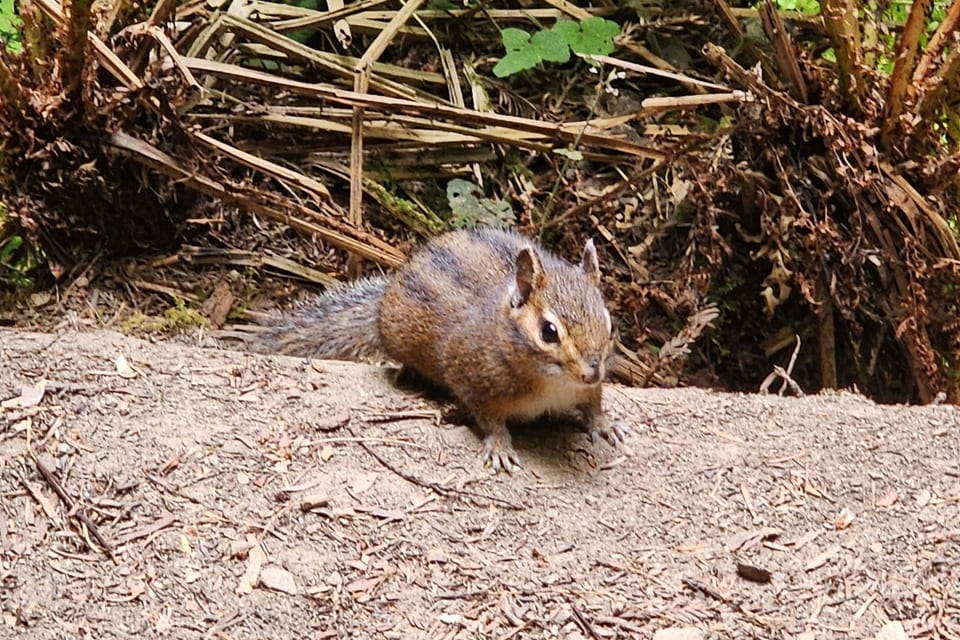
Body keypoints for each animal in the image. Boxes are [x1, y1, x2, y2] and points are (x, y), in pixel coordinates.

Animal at [257, 228, 625, 472]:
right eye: (549, 332)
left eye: (609, 325)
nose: (591, 372)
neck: (555, 384)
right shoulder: (471, 377)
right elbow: (489, 418)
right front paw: (500, 445)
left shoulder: (587, 390)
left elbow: (594, 403)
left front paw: (605, 425)